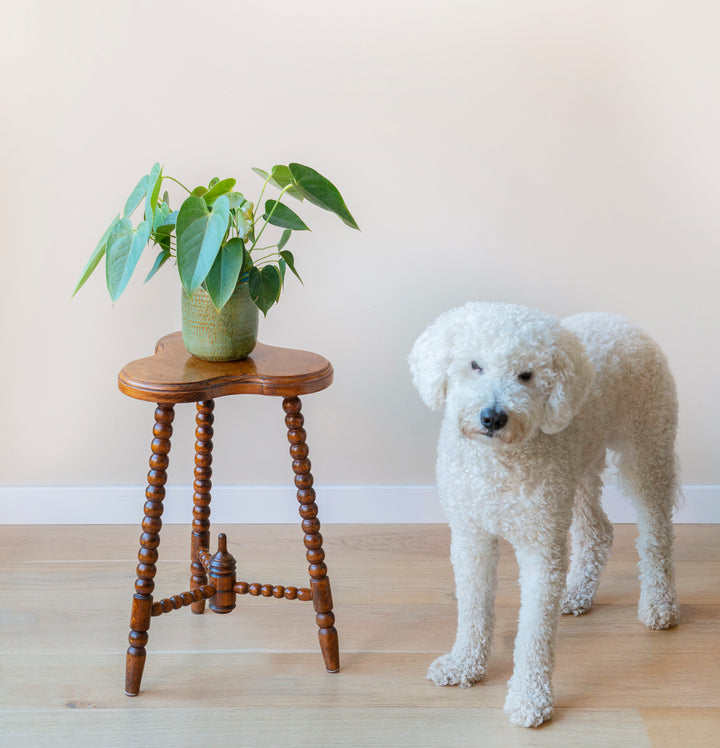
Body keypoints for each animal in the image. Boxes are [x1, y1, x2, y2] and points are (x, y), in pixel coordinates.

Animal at [410, 300, 680, 728]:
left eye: (526, 375)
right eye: (474, 365)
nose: (493, 417)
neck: (498, 462)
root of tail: (621, 322)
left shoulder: (541, 547)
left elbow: (534, 633)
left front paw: (529, 698)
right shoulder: (471, 537)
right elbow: (473, 608)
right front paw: (465, 664)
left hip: (647, 451)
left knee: (657, 535)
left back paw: (659, 605)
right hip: (579, 468)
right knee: (597, 530)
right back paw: (577, 593)